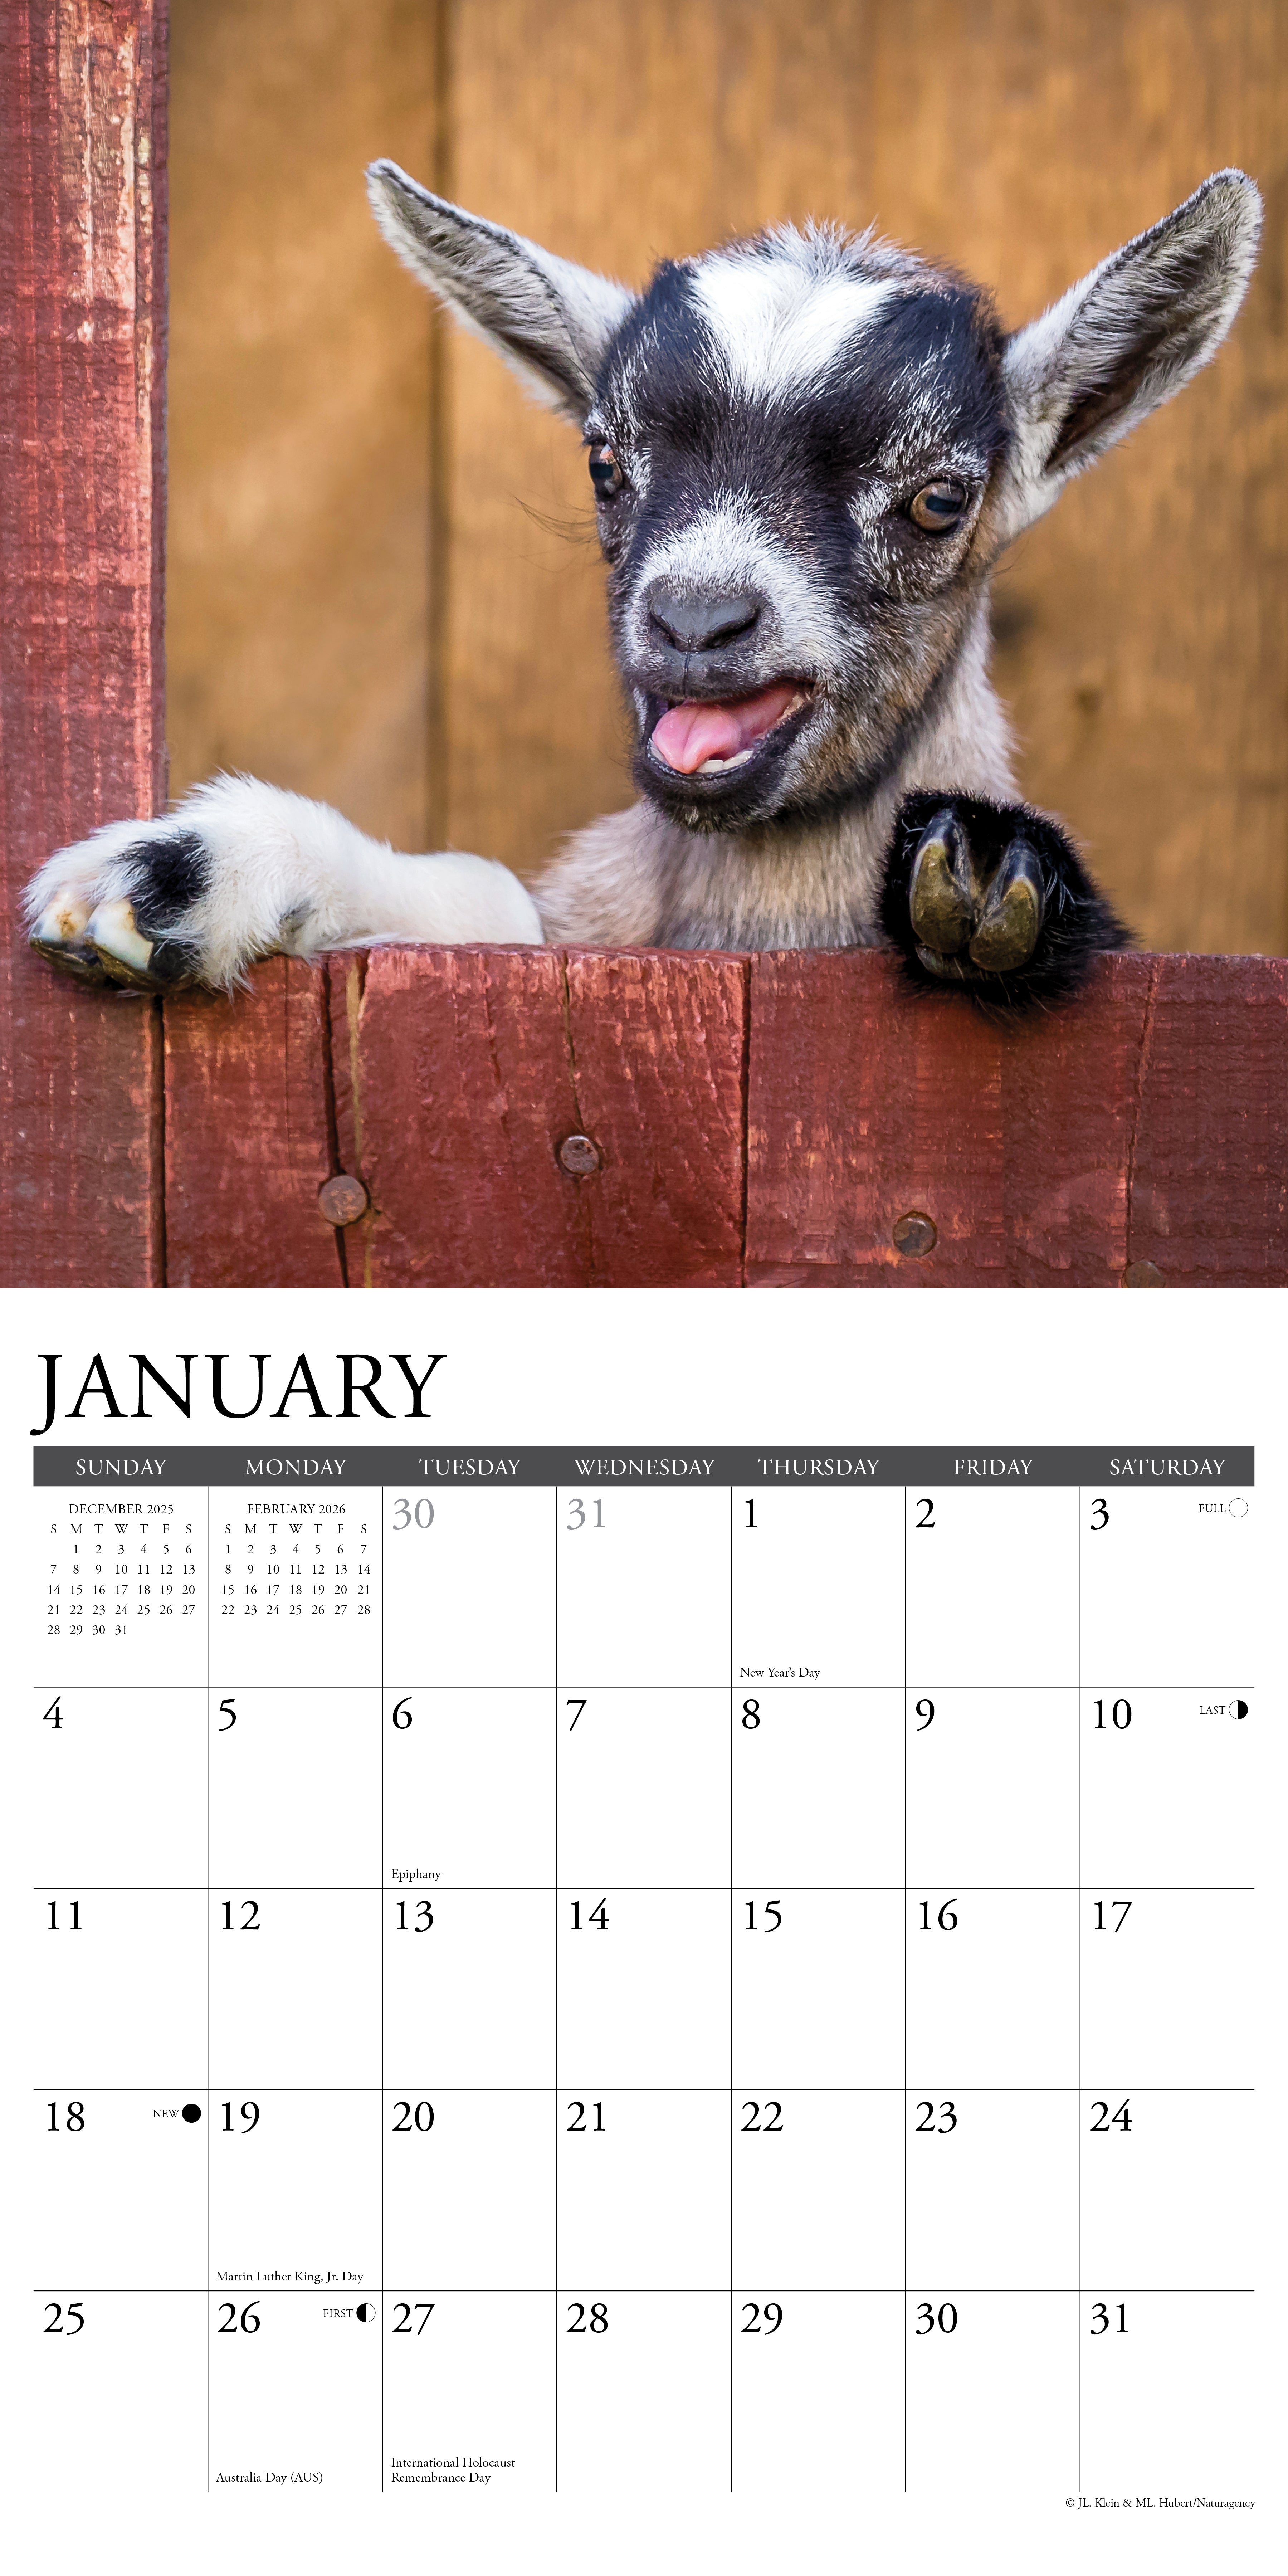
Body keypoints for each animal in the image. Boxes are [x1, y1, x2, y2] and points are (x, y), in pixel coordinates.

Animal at [26, 165, 1260, 1008]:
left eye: (939, 500)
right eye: (605, 463)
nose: (697, 619)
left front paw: (991, 878)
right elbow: (488, 900)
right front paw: (185, 879)